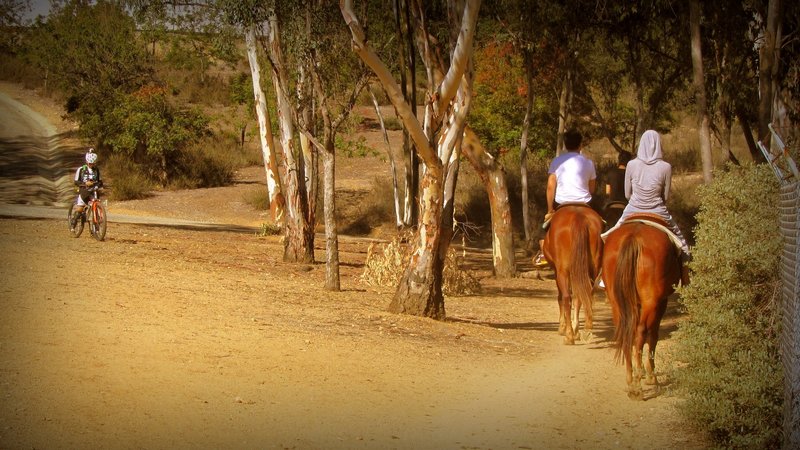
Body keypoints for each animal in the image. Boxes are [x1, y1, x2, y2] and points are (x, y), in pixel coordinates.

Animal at [540, 204, 604, 344]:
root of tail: (578, 217)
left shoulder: (557, 272)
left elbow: (561, 297)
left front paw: (562, 327)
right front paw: (576, 330)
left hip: (563, 272)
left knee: (566, 297)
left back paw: (569, 335)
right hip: (591, 270)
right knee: (586, 295)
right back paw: (585, 330)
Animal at [600, 215, 680, 400]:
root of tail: (633, 237)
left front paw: (642, 370)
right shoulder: (661, 302)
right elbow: (653, 335)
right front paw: (650, 376)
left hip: (617, 301)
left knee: (626, 333)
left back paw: (631, 381)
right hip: (651, 301)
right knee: (642, 331)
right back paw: (638, 386)